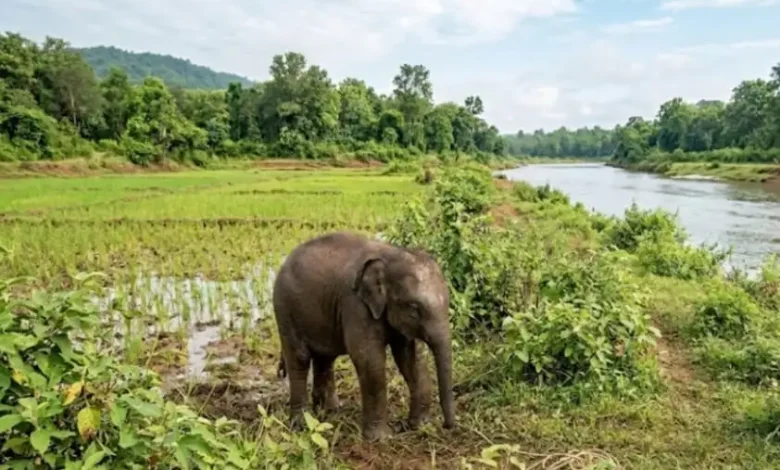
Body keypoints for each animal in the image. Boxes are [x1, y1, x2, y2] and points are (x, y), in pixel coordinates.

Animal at [271, 231, 455, 441]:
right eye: (414, 309)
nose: (447, 425)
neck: (391, 254)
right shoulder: (355, 305)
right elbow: (368, 359)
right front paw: (381, 439)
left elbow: (410, 358)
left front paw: (420, 426)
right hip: (285, 308)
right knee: (299, 358)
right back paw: (301, 424)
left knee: (325, 358)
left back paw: (329, 413)